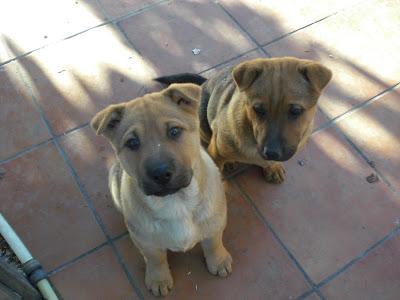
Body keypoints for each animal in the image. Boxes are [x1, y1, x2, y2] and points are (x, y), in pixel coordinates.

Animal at [90, 83, 231, 296]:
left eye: (174, 131)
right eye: (132, 142)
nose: (160, 173)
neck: (177, 201)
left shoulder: (214, 223)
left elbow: (214, 243)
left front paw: (219, 260)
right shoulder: (146, 242)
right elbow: (156, 260)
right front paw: (159, 279)